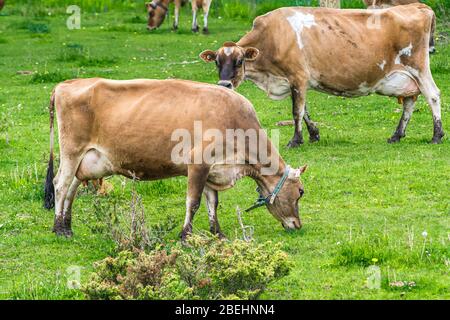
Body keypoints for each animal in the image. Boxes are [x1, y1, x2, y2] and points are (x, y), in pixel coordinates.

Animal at [44, 78, 308, 240]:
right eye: (300, 192)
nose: (298, 225)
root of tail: (67, 83)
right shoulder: (198, 164)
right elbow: (193, 202)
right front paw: (185, 235)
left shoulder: (212, 170)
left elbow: (212, 203)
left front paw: (217, 232)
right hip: (71, 152)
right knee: (61, 184)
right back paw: (58, 227)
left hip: (87, 161)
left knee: (72, 188)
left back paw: (67, 225)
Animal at [200, 3, 442, 146]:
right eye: (217, 62)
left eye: (240, 61)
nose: (224, 84)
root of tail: (416, 5)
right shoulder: (296, 80)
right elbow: (305, 110)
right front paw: (314, 134)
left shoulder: (297, 76)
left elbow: (296, 111)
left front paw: (296, 140)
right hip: (407, 77)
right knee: (410, 101)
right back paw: (397, 135)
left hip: (418, 67)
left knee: (432, 95)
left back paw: (437, 135)